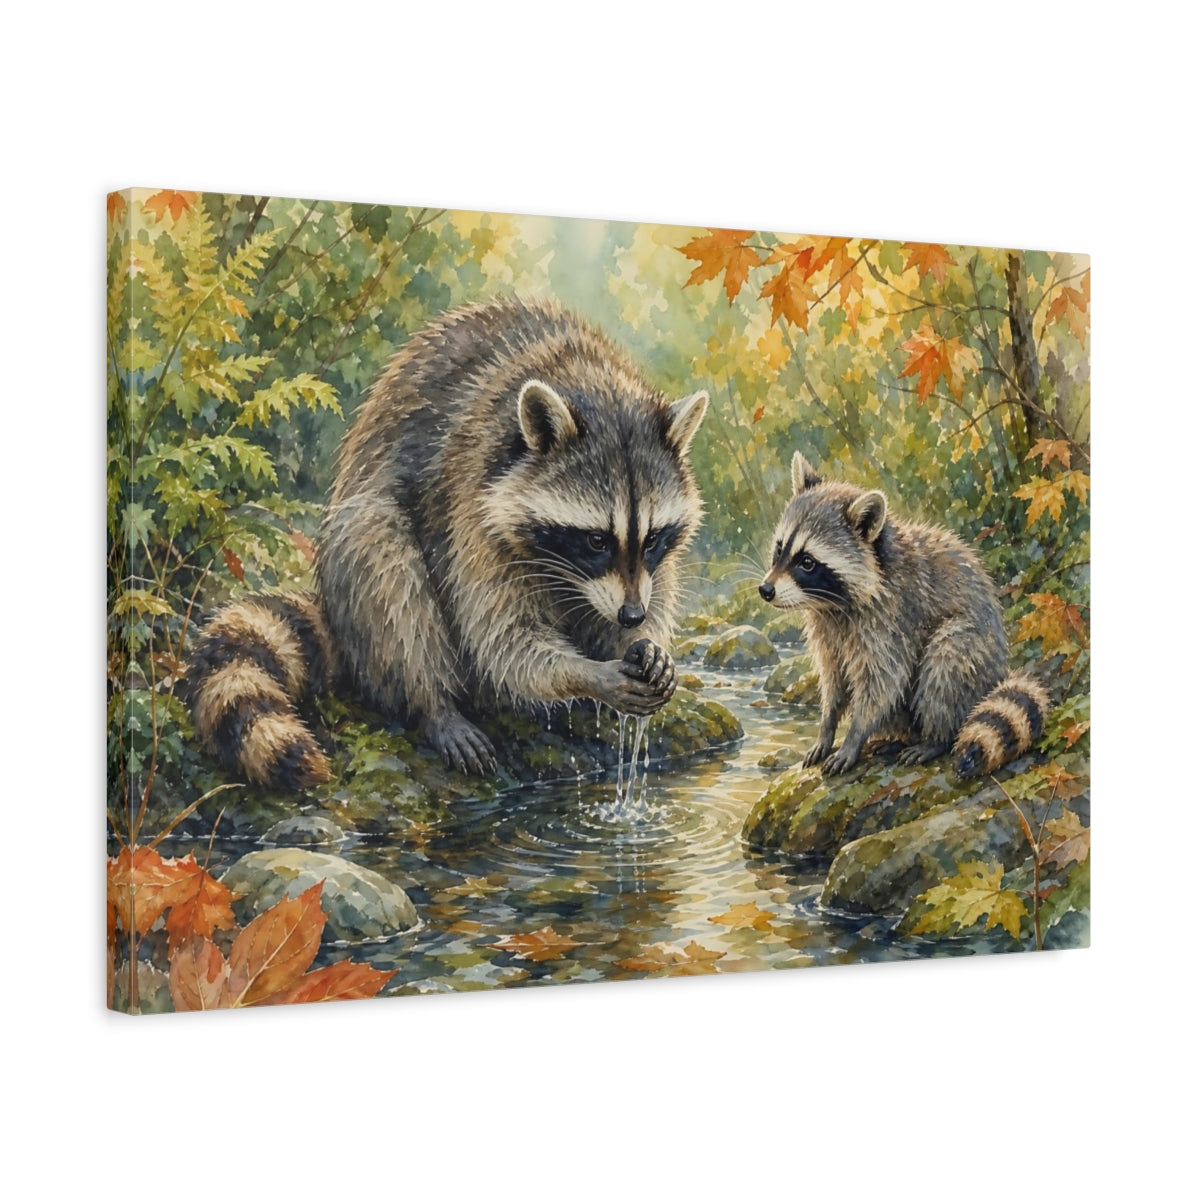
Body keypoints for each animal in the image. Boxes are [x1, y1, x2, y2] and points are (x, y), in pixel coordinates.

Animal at [187, 298, 708, 787]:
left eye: (654, 538)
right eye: (597, 540)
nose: (631, 615)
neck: (593, 383)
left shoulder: (646, 569)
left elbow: (653, 591)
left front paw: (643, 643)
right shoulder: (471, 510)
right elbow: (502, 642)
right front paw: (585, 673)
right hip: (366, 566)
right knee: (382, 563)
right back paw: (432, 702)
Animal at [758, 451, 1049, 779]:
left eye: (807, 562)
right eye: (780, 549)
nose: (766, 590)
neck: (832, 604)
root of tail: (998, 675)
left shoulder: (892, 620)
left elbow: (882, 684)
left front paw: (854, 736)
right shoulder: (826, 630)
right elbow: (833, 681)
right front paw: (827, 727)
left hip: (972, 648)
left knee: (945, 665)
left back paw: (935, 738)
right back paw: (898, 738)